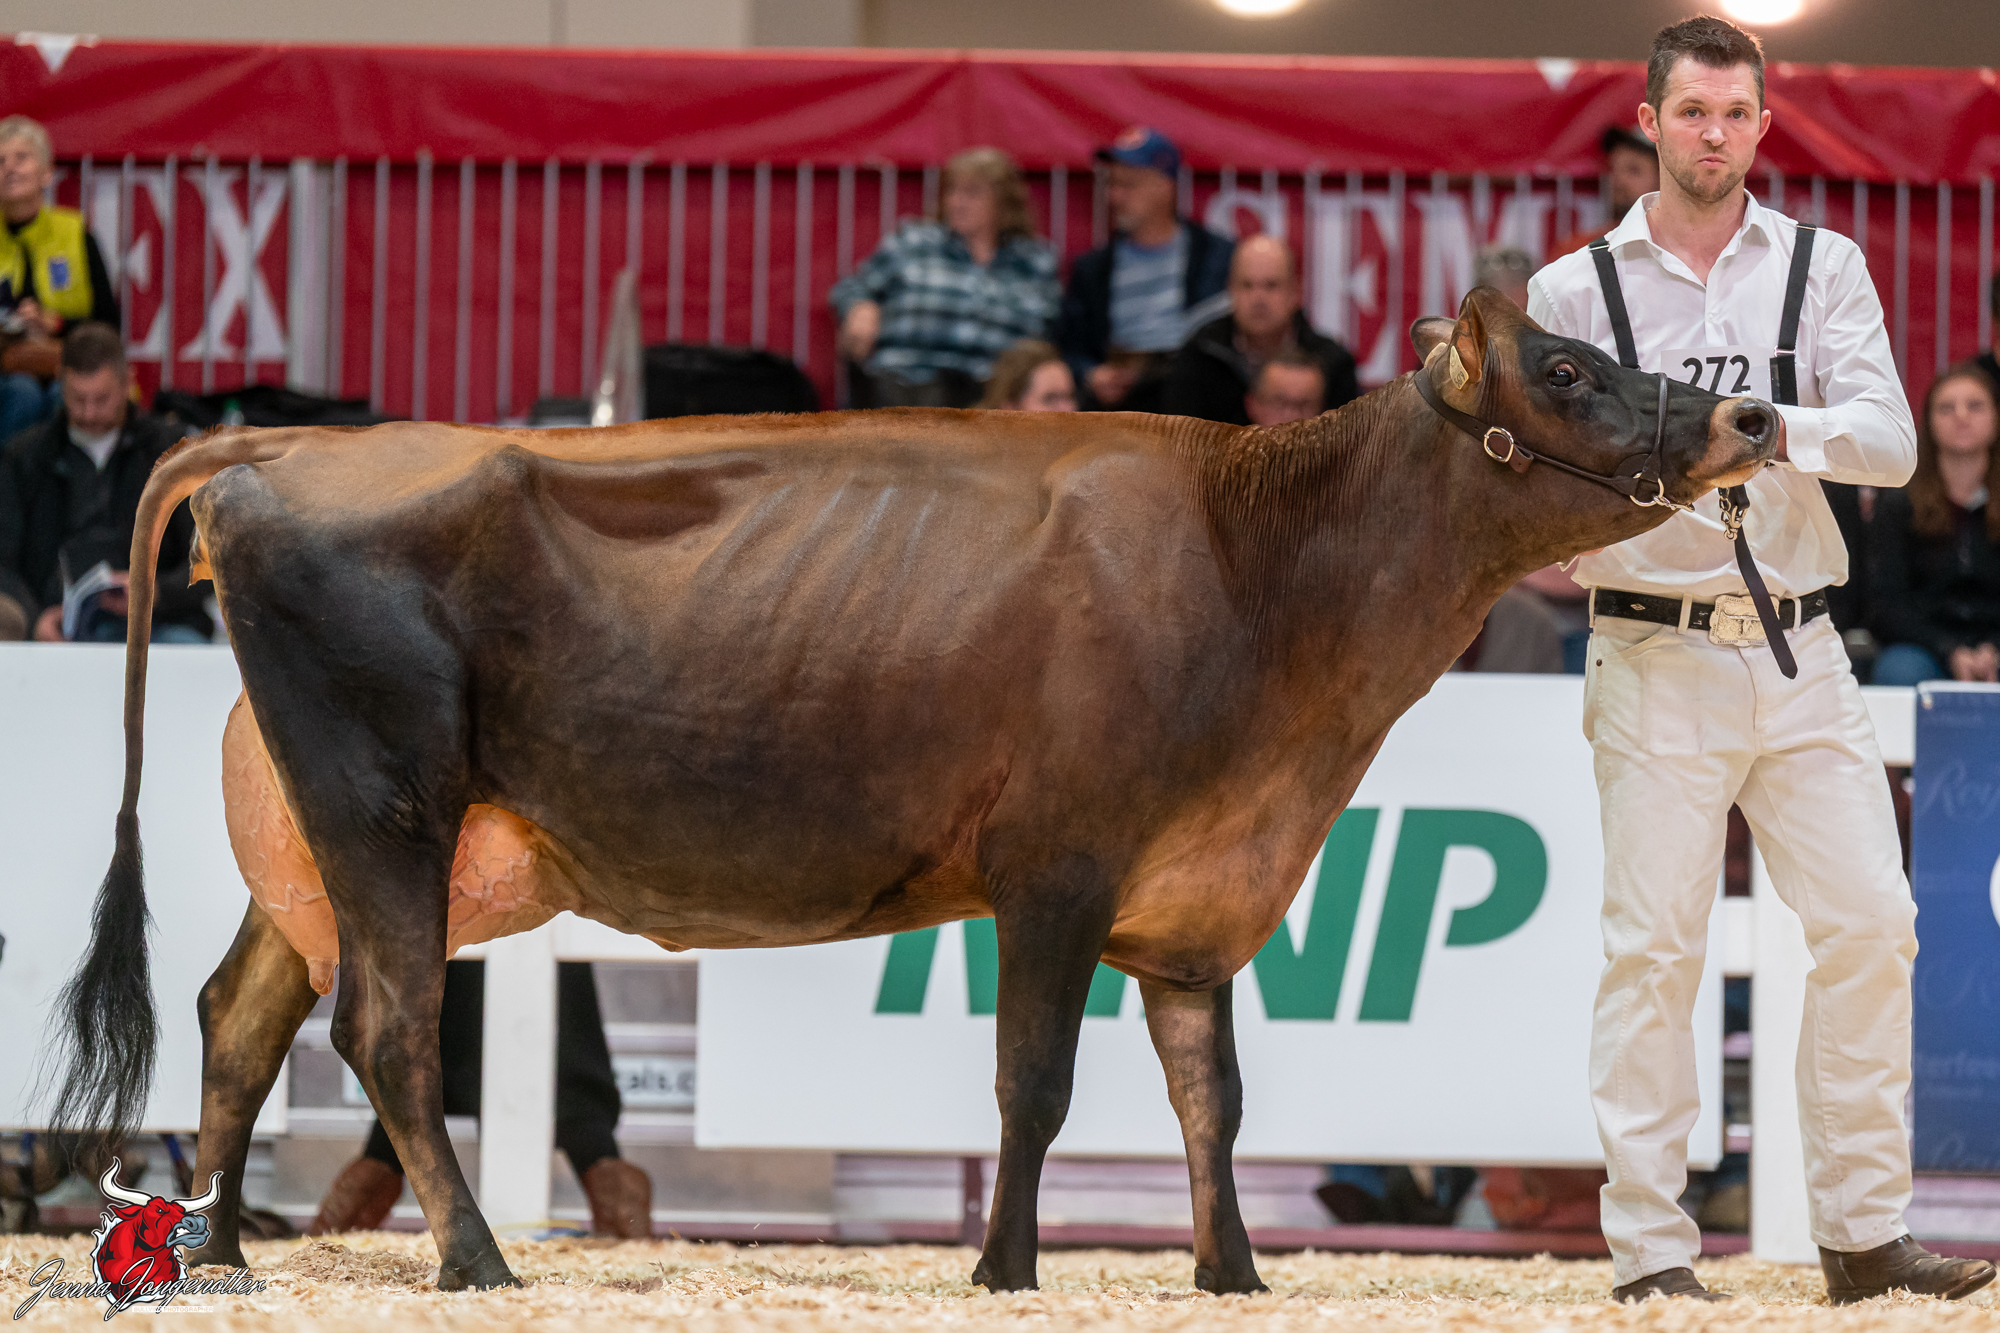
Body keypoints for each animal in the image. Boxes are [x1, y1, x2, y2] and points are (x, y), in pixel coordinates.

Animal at [47, 290, 1774, 1294]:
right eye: (1571, 367)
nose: (1751, 411)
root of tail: (272, 450)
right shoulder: (1060, 865)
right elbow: (1036, 1086)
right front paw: (1007, 1268)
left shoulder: (1201, 891)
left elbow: (1209, 1097)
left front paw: (1230, 1275)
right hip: (386, 801)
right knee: (387, 1028)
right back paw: (474, 1260)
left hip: (323, 835)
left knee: (238, 1015)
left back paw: (211, 1252)